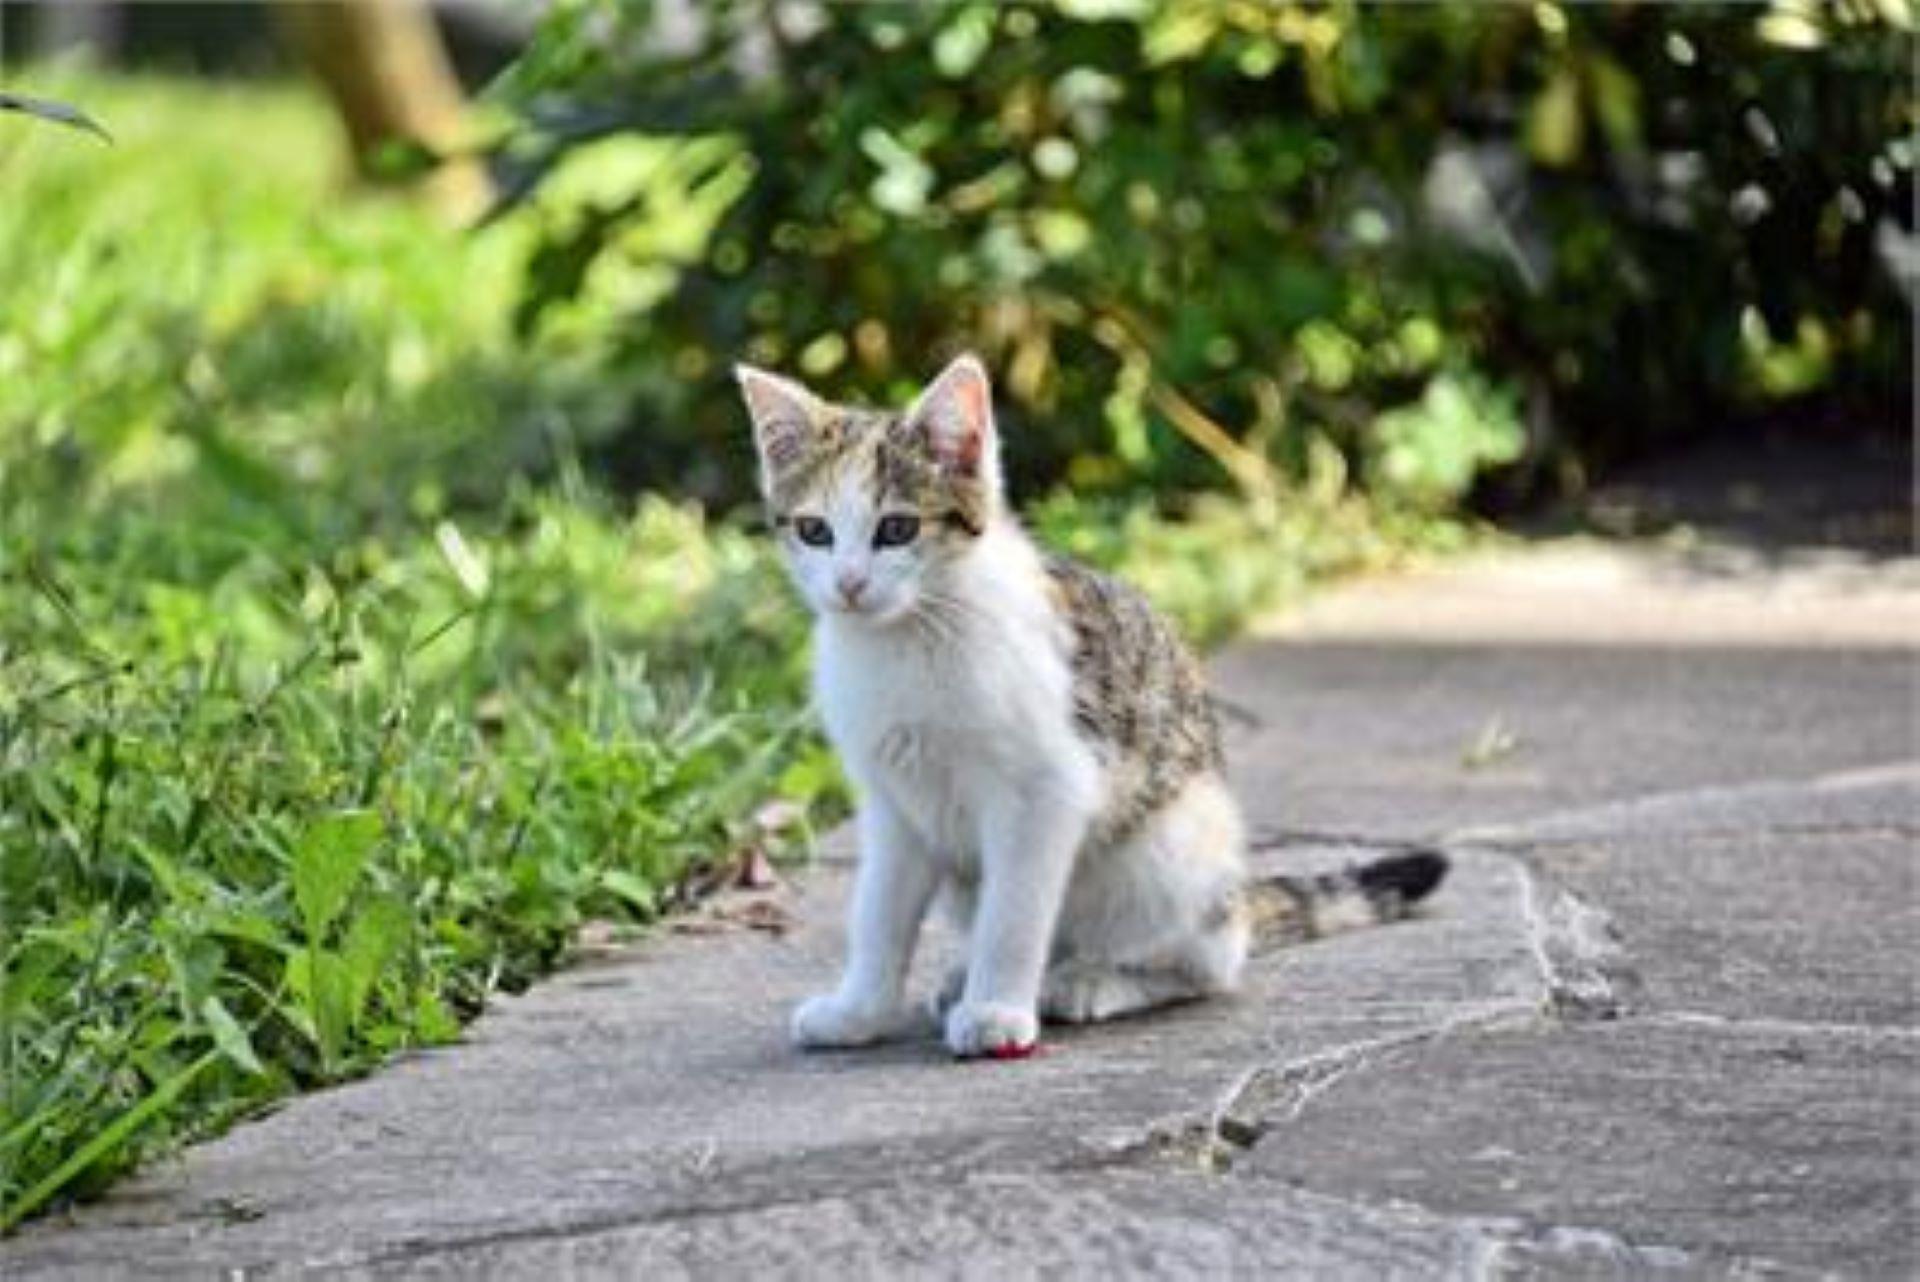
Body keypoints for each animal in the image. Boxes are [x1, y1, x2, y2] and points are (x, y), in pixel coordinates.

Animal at [733, 353, 1443, 1059]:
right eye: (814, 531)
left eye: (897, 529)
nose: (849, 585)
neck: (910, 636)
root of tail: (1239, 898)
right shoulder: (894, 802)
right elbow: (879, 914)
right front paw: (860, 1011)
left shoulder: (1047, 787)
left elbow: (1014, 912)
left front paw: (996, 1009)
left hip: (1174, 847)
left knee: (1209, 963)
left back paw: (1088, 981)